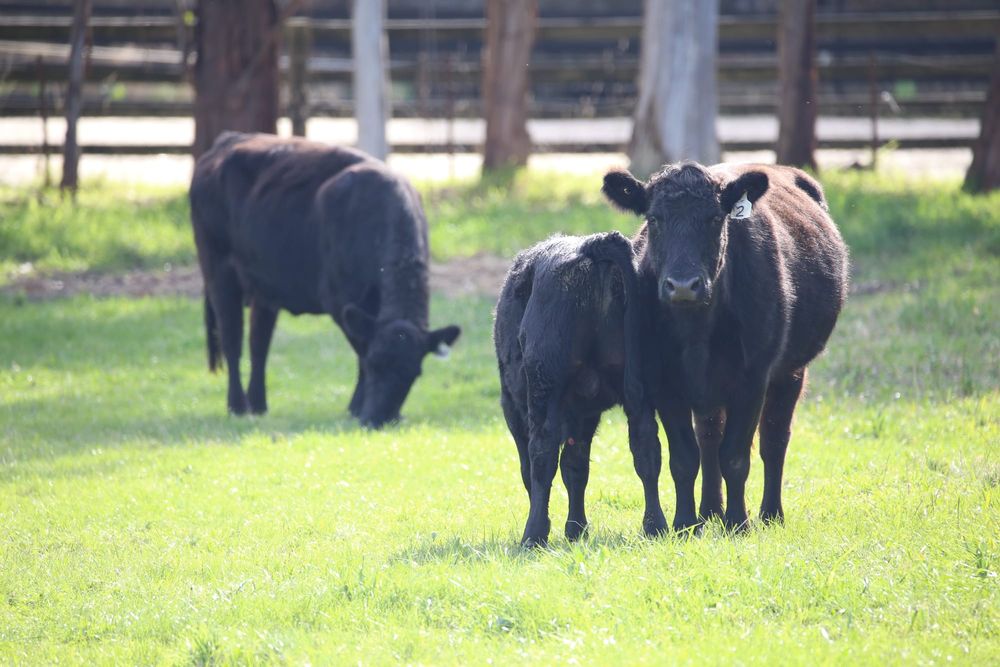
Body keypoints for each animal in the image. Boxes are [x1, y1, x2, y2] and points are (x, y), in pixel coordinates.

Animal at [190, 132, 461, 428]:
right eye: (376, 364)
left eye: (413, 373)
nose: (378, 418)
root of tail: (227, 140)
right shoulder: (340, 302)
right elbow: (360, 350)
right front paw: (356, 407)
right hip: (218, 270)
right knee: (232, 339)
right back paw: (237, 406)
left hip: (264, 286)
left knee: (259, 343)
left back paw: (258, 405)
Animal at [494, 231, 667, 547]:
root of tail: (592, 244)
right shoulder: (585, 413)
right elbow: (576, 467)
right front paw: (576, 528)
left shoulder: (512, 406)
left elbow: (536, 468)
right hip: (641, 389)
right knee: (646, 448)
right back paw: (655, 525)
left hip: (543, 385)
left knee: (541, 454)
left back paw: (533, 534)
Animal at [602, 162, 848, 532]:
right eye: (654, 218)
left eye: (715, 218)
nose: (683, 285)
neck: (697, 331)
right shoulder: (664, 384)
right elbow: (685, 457)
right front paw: (685, 523)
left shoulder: (753, 379)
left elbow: (735, 456)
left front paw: (738, 522)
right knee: (709, 438)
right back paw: (708, 511)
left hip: (791, 372)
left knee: (774, 439)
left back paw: (769, 514)